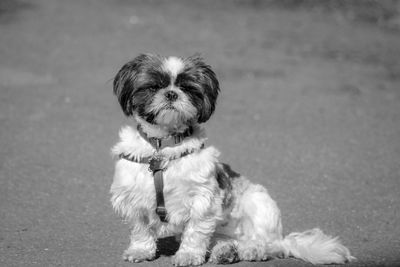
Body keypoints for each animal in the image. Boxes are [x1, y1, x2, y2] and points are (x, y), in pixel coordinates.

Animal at [108, 54, 354, 266]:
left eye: (188, 88)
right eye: (153, 87)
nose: (171, 94)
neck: (163, 149)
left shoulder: (203, 199)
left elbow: (195, 232)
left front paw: (188, 255)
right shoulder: (132, 197)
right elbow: (140, 229)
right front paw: (140, 250)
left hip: (259, 203)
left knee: (270, 244)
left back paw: (251, 250)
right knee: (225, 240)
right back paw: (226, 251)